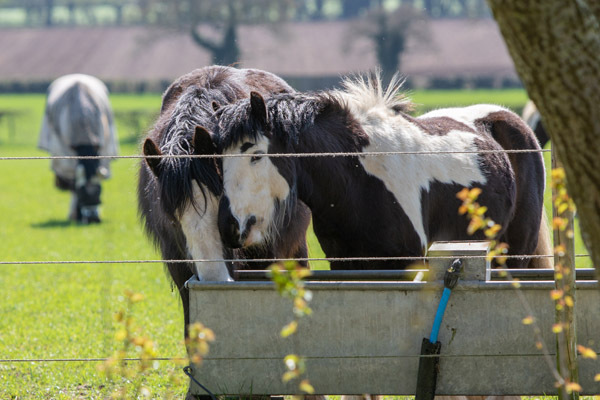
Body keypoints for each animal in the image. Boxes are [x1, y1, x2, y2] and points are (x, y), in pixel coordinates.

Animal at [38, 72, 118, 222]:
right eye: (82, 194)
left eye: (99, 192)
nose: (93, 219)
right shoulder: (65, 157)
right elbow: (73, 184)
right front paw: (75, 215)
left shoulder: (103, 149)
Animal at [213, 73, 552, 270]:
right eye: (218, 159)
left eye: (256, 156)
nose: (229, 227)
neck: (357, 183)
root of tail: (507, 118)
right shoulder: (348, 267)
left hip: (514, 257)